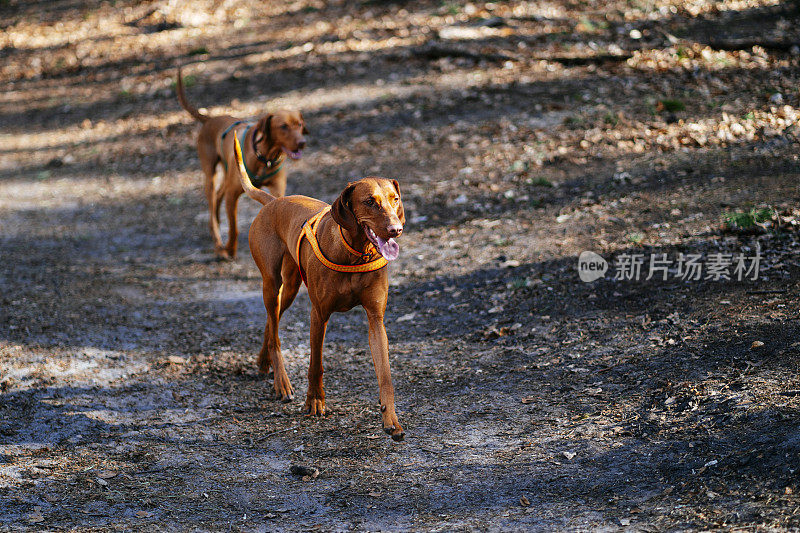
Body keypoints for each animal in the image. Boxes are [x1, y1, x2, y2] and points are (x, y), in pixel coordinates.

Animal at [177, 66, 308, 258]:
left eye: (299, 124)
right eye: (283, 126)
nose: (302, 143)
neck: (266, 158)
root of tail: (211, 119)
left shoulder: (277, 192)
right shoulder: (233, 195)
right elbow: (234, 228)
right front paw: (230, 249)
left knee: (218, 197)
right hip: (210, 175)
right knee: (212, 204)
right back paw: (218, 244)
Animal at [231, 135, 406, 438]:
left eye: (394, 200)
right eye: (369, 202)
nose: (396, 230)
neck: (354, 252)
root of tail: (273, 201)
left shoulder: (376, 318)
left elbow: (385, 375)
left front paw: (391, 420)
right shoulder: (319, 314)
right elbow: (316, 364)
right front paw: (314, 401)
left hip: (289, 287)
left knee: (271, 321)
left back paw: (264, 360)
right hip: (271, 282)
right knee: (275, 332)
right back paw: (281, 381)